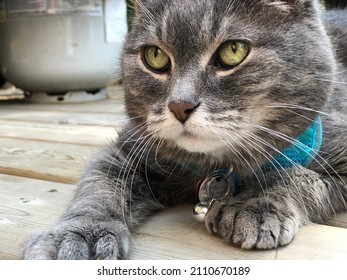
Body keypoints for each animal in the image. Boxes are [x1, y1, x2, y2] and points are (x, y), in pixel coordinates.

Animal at [23, 0, 346, 260]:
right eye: (154, 56)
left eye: (233, 50)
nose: (180, 105)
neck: (216, 165)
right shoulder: (127, 151)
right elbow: (98, 187)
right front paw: (78, 234)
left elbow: (294, 174)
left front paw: (252, 203)